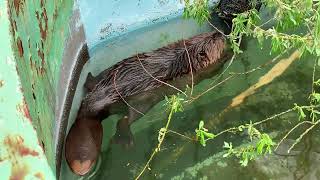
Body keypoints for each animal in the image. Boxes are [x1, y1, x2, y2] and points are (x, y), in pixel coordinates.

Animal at [65, 31, 232, 176]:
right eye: (213, 39)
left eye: (208, 34)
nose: (219, 33)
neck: (184, 55)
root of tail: (92, 106)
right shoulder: (198, 71)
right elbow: (213, 68)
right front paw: (229, 53)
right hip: (141, 104)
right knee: (124, 120)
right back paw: (126, 141)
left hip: (112, 70)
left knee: (94, 81)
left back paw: (90, 78)